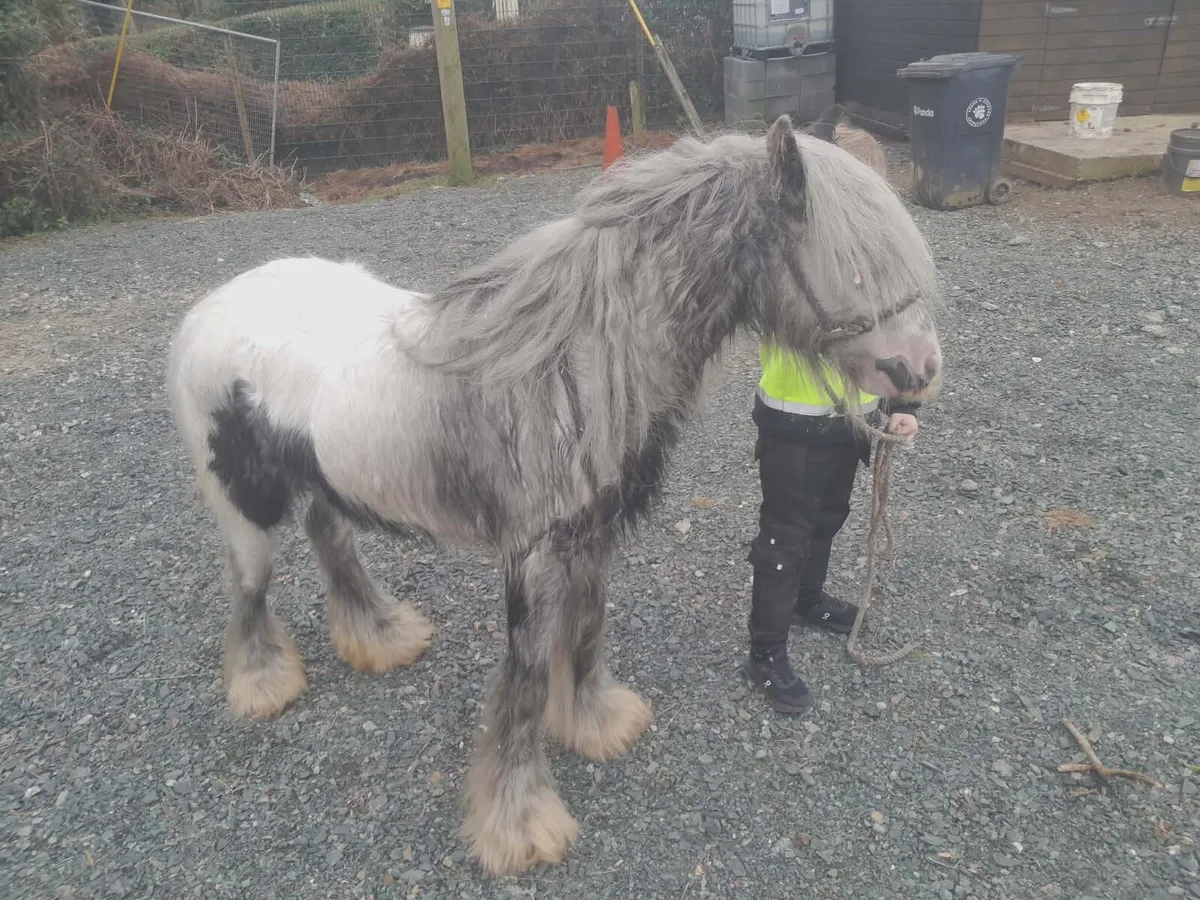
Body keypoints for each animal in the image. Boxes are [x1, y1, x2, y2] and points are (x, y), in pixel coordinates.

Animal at [164, 114, 944, 876]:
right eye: (854, 263)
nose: (923, 372)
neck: (579, 367)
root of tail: (208, 311)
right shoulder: (535, 558)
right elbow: (528, 679)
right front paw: (519, 826)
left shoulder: (591, 539)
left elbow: (588, 632)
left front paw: (598, 725)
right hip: (244, 504)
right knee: (251, 587)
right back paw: (263, 683)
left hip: (336, 478)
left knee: (331, 540)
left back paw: (380, 637)